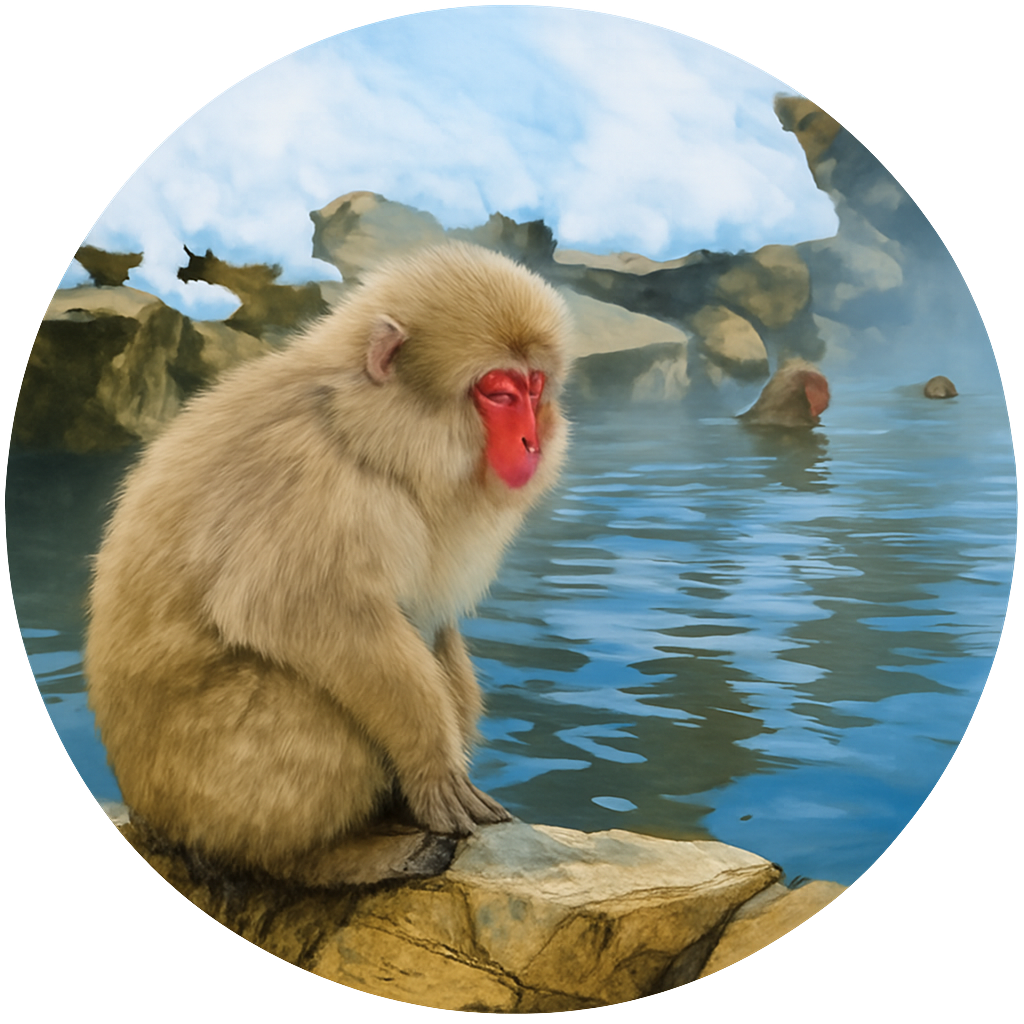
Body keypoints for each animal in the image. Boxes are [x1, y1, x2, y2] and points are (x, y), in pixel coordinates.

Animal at [85, 241, 573, 888]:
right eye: (497, 393)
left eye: (533, 386)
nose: (531, 443)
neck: (359, 428)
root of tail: (146, 811)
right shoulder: (309, 478)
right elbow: (301, 612)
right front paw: (433, 767)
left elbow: (430, 620)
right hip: (200, 791)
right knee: (309, 695)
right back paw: (320, 858)